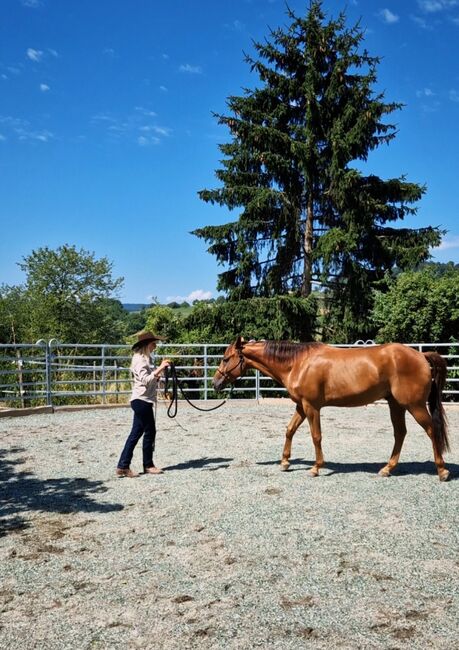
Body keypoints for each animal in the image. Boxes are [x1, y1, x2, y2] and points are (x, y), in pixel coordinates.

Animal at [216, 336, 452, 478]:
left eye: (226, 358)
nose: (216, 382)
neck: (298, 363)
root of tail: (421, 355)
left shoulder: (311, 407)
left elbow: (316, 436)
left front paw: (316, 468)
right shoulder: (301, 406)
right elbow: (290, 430)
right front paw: (285, 462)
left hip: (414, 405)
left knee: (431, 430)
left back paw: (442, 471)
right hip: (396, 405)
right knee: (400, 433)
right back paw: (387, 468)